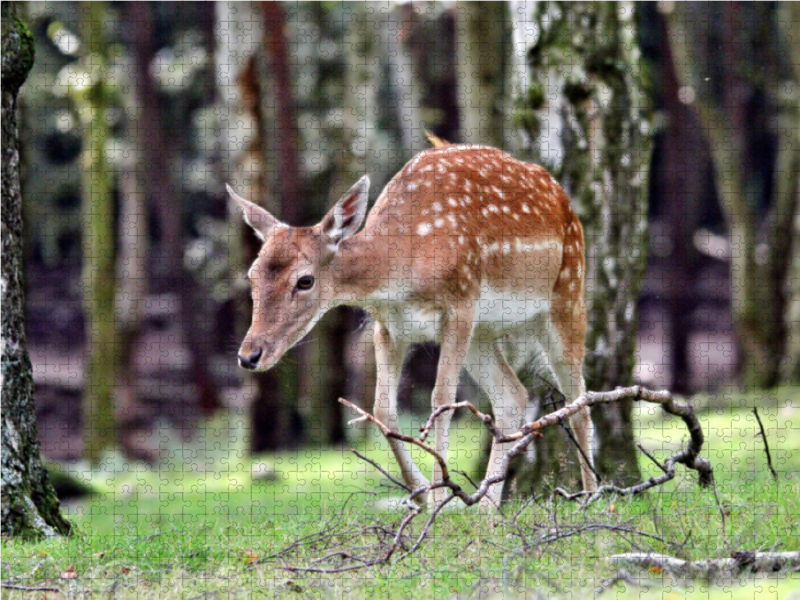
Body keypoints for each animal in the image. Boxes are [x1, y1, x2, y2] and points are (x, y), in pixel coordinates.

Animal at [225, 136, 592, 506]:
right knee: (512, 394)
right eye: (251, 276)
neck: (403, 270)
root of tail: (563, 198)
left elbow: (441, 400)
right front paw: (421, 492)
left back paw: (592, 494)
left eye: (304, 280)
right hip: (483, 334)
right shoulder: (388, 326)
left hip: (567, 294)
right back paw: (486, 508)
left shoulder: (461, 303)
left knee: (579, 400)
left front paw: (439, 497)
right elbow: (382, 409)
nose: (249, 355)